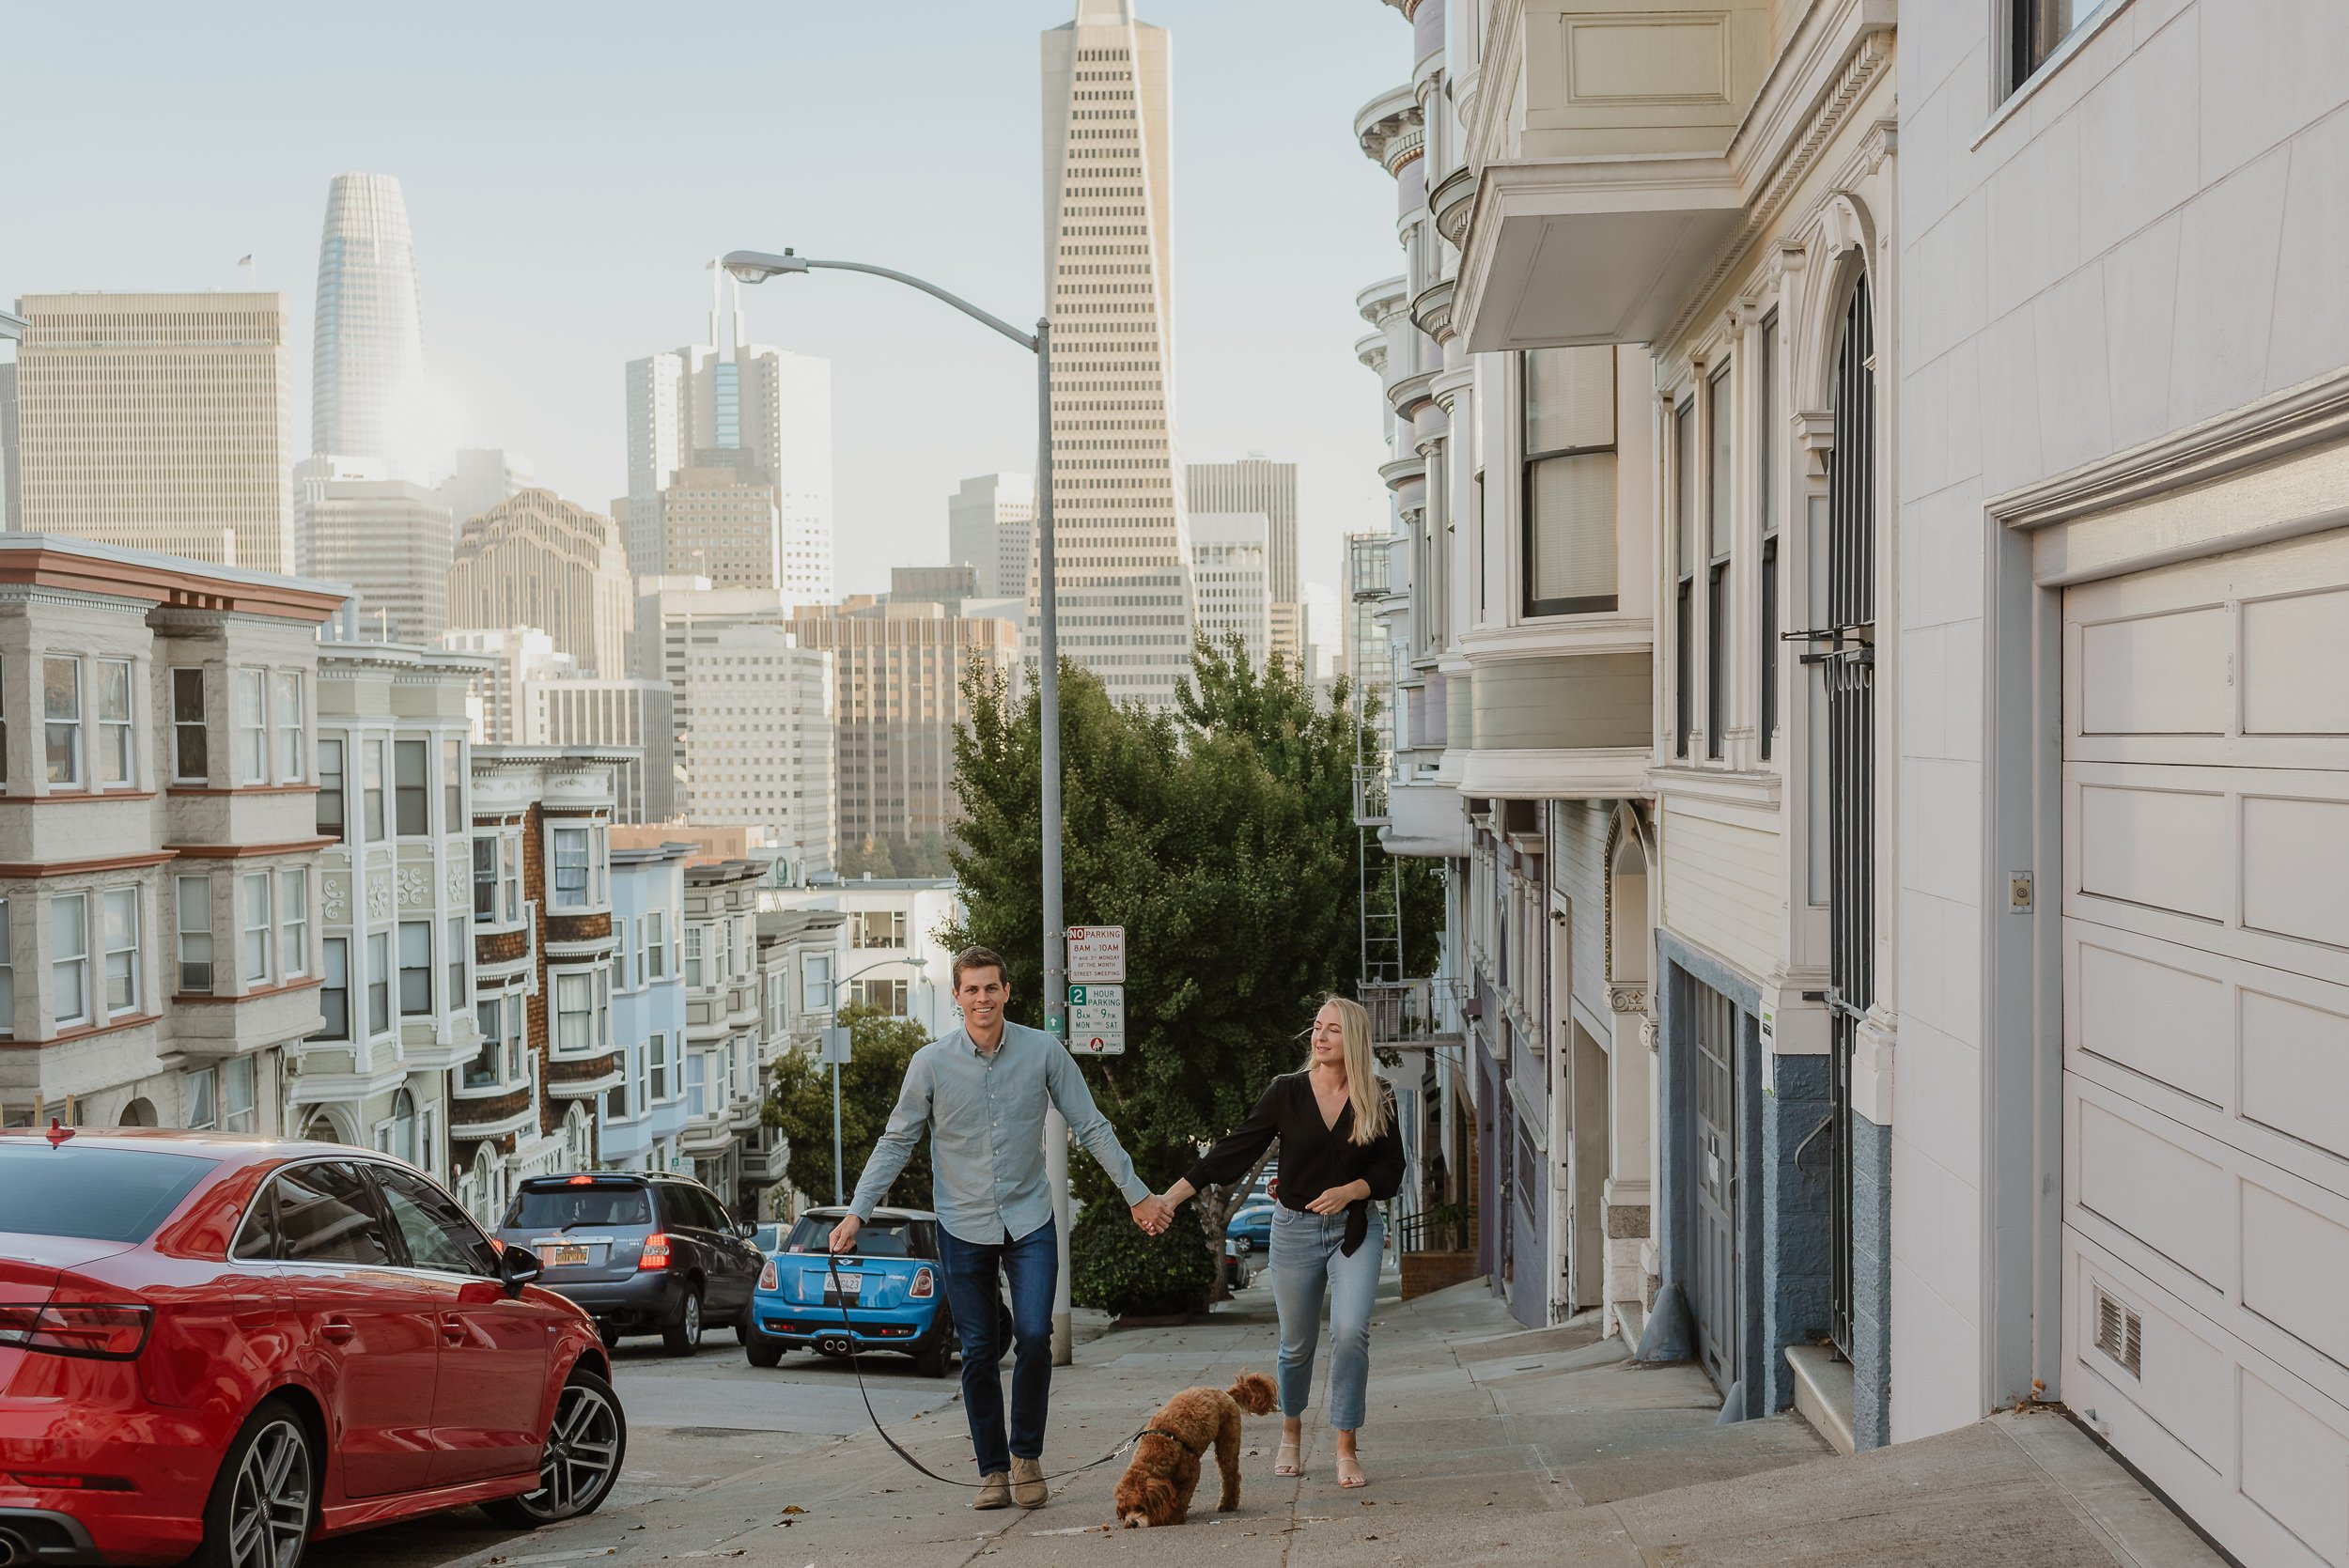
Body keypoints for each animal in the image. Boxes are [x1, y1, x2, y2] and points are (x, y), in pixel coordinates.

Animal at [1109, 1371, 1278, 1530]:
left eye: (1140, 1507)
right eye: (1125, 1510)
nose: (1131, 1523)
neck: (1156, 1450)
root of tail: (1225, 1393)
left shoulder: (1191, 1471)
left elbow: (1182, 1497)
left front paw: (1173, 1517)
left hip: (1228, 1441)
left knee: (1230, 1475)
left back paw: (1228, 1503)